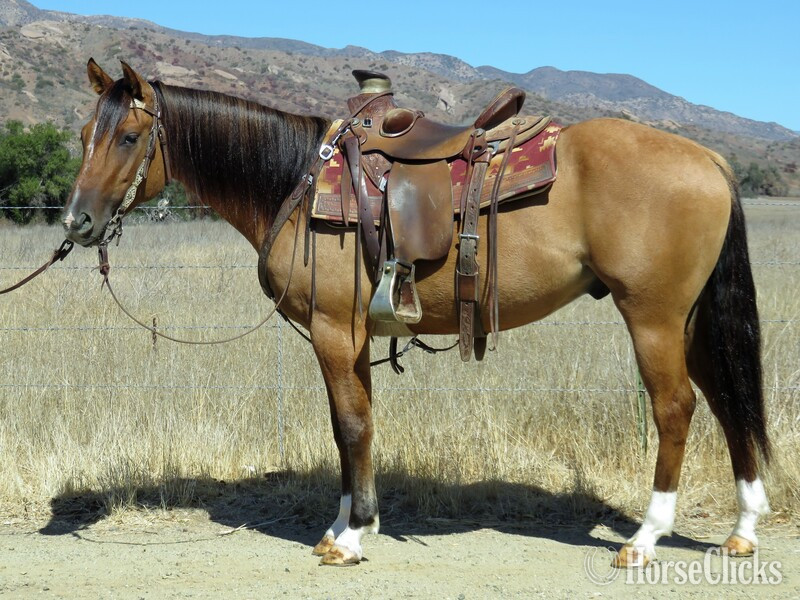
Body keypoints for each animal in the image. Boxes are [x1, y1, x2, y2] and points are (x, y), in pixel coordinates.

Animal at [62, 59, 770, 567]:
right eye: (84, 135)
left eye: (129, 136)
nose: (77, 223)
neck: (295, 183)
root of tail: (709, 158)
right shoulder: (348, 338)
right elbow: (349, 427)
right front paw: (345, 524)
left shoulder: (332, 331)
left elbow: (352, 427)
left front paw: (352, 537)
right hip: (689, 321)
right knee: (727, 397)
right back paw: (742, 530)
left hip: (652, 316)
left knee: (676, 407)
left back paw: (646, 539)